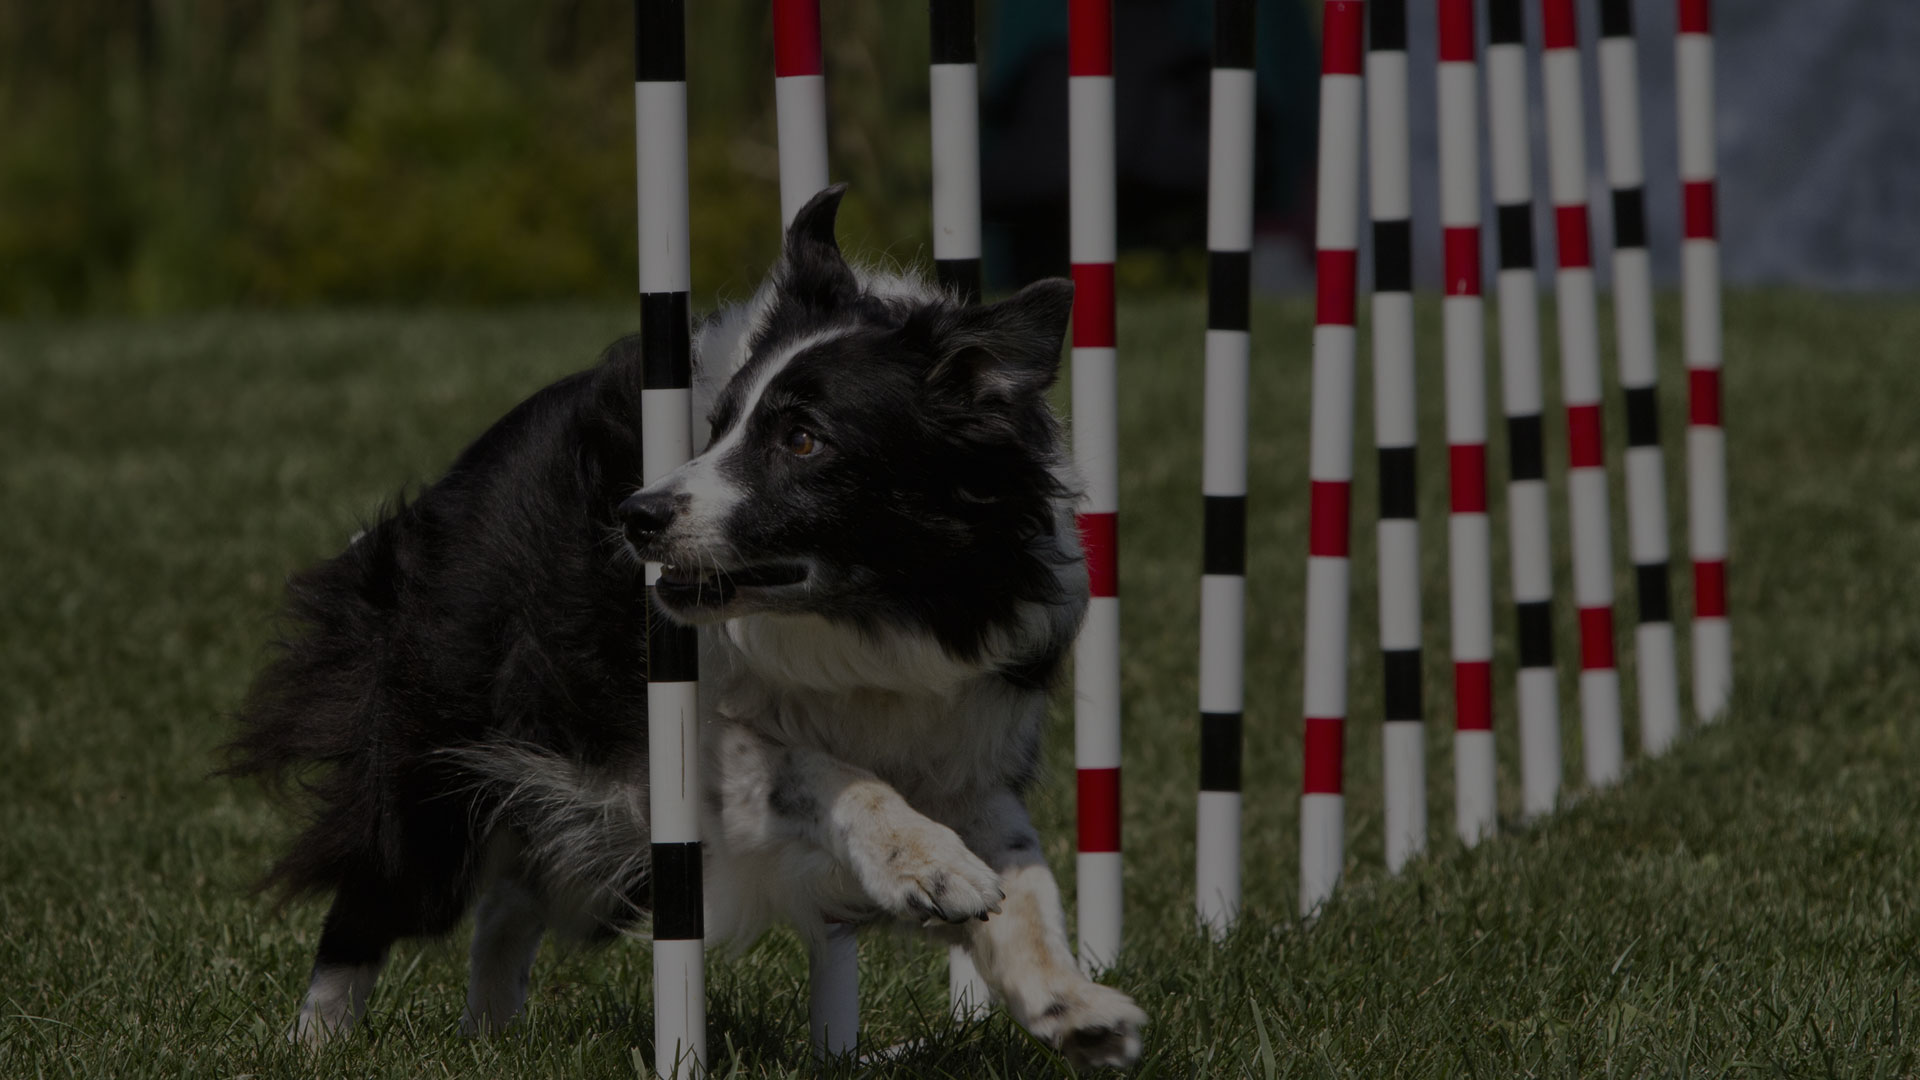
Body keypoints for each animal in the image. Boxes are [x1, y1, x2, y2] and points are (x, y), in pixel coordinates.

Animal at [232, 187, 1144, 1068]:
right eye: (718, 426)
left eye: (804, 439)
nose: (636, 516)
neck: (864, 617)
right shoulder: (678, 755)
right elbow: (823, 770)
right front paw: (930, 865)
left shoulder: (962, 732)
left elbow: (1026, 874)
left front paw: (1072, 1004)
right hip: (447, 762)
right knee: (378, 893)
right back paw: (317, 1043)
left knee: (513, 899)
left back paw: (490, 1036)